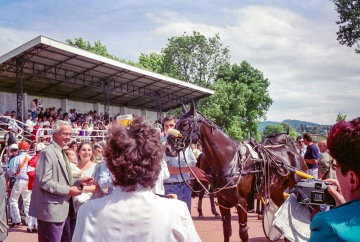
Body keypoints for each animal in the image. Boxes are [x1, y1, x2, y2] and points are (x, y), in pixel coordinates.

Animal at [168, 100, 306, 242]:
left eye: (184, 124)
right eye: (177, 123)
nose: (168, 148)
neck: (231, 161)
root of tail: (295, 154)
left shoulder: (242, 203)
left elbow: (243, 233)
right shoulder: (223, 202)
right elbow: (226, 230)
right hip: (276, 190)